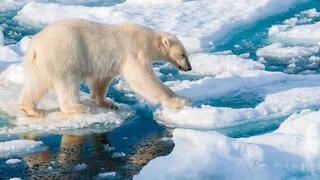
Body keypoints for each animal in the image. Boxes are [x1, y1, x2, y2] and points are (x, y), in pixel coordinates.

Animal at [20, 18, 192, 116]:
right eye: (183, 54)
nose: (189, 68)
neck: (149, 39)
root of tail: (35, 45)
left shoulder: (109, 62)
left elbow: (101, 81)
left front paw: (108, 103)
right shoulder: (135, 51)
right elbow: (143, 78)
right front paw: (182, 100)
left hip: (42, 62)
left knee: (37, 83)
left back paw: (32, 109)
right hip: (64, 53)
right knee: (67, 82)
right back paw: (80, 107)